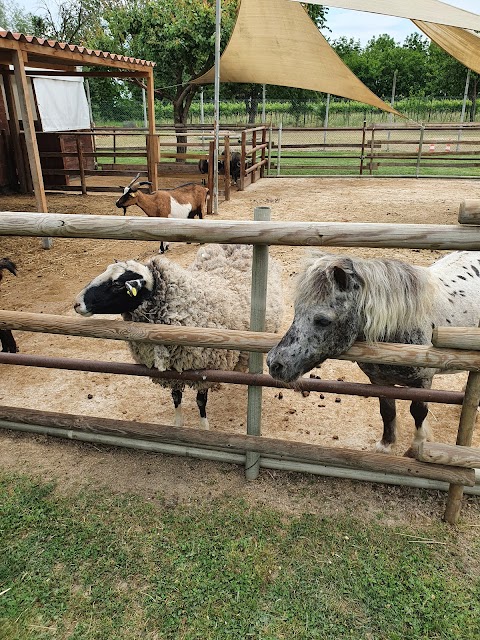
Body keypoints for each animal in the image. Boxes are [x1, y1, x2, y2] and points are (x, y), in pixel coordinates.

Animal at [73, 244, 284, 430]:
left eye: (117, 284)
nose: (76, 304)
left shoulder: (205, 370)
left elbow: (200, 401)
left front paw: (204, 428)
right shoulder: (171, 370)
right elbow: (176, 397)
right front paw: (178, 425)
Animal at [266, 250, 480, 456]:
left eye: (323, 320)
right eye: (296, 311)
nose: (275, 364)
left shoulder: (423, 382)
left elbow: (418, 412)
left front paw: (416, 447)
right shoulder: (379, 381)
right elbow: (387, 411)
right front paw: (386, 445)